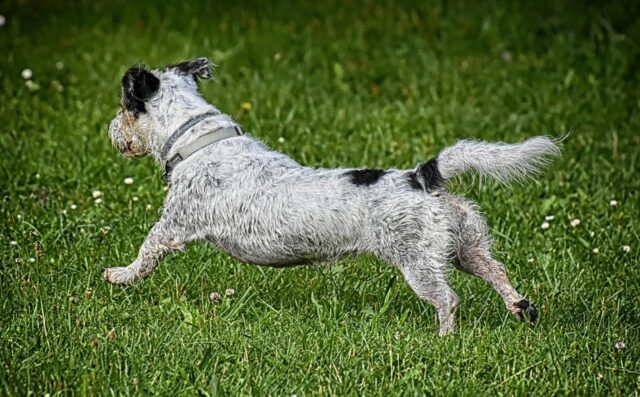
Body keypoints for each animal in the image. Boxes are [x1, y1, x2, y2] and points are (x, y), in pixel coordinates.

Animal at [105, 56, 560, 334]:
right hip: (465, 246)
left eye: (125, 106)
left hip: (419, 262)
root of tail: (423, 177)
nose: (109, 129)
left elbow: (146, 252)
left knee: (447, 299)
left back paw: (445, 338)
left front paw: (120, 275)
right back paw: (520, 308)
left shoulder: (174, 224)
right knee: (497, 271)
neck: (199, 140)